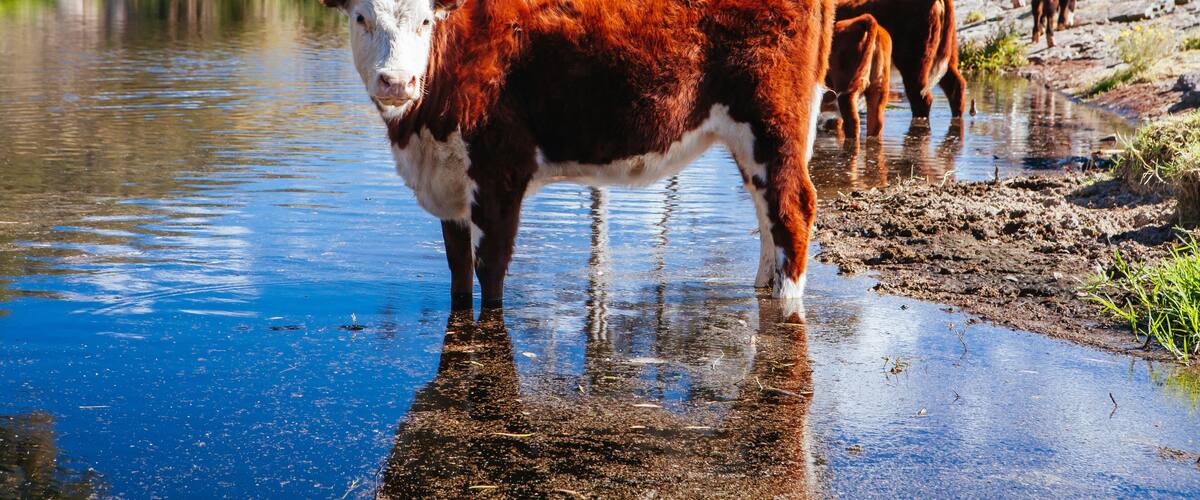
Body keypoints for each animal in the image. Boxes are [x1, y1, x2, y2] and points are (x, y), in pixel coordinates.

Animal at [318, 0, 835, 312]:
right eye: (361, 18)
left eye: (425, 21)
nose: (396, 81)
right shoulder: (450, 180)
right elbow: (458, 268)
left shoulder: (500, 169)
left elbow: (490, 268)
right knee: (766, 210)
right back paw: (763, 287)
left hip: (773, 119)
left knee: (792, 208)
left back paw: (787, 303)